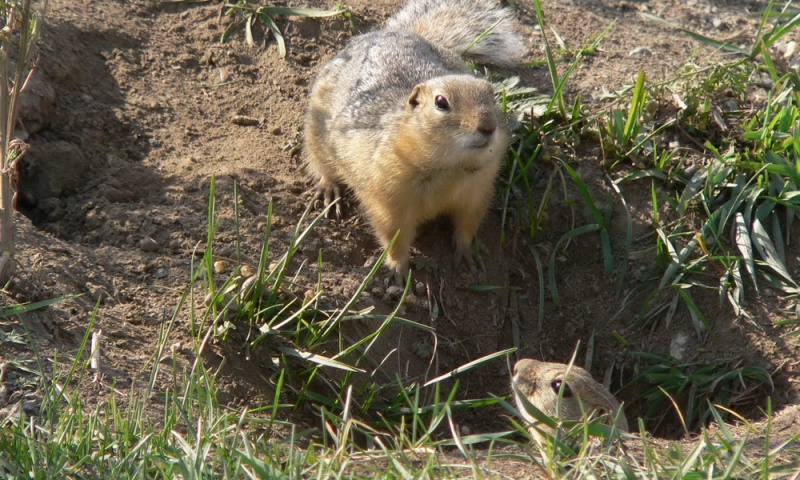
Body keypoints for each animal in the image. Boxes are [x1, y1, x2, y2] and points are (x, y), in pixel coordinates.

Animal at [302, 0, 524, 278]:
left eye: (492, 95)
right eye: (441, 102)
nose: (488, 127)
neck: (449, 167)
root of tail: (393, 32)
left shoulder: (477, 190)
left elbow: (467, 224)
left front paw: (467, 255)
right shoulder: (390, 197)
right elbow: (393, 234)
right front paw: (398, 269)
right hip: (314, 133)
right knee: (321, 165)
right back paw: (329, 190)